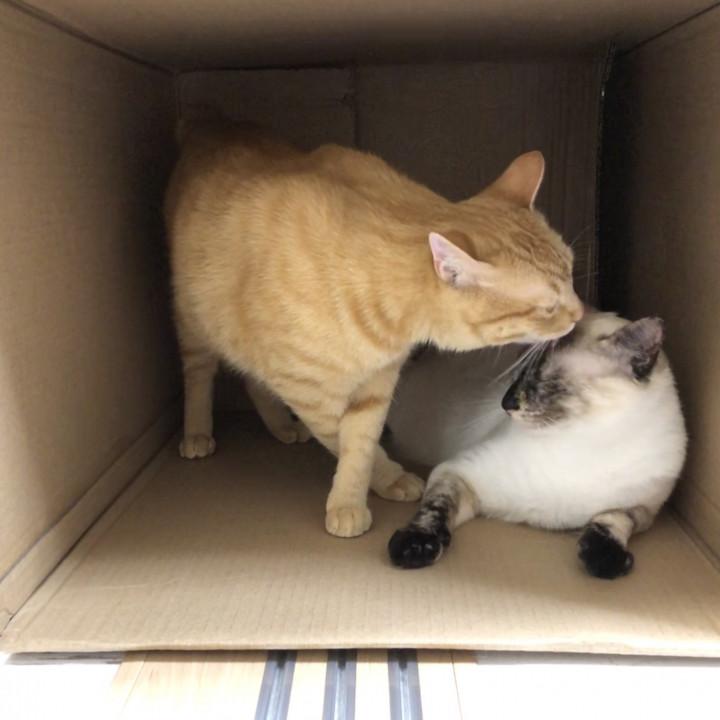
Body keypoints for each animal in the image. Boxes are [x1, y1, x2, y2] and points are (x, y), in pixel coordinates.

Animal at [164, 119, 583, 538]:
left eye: (572, 273)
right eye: (548, 307)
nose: (580, 314)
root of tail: (214, 128)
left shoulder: (377, 386)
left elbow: (361, 444)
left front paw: (369, 486)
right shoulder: (311, 395)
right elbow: (344, 440)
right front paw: (360, 495)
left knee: (253, 380)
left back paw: (281, 427)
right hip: (193, 325)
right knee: (199, 375)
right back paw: (197, 432)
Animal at [387, 311, 687, 578]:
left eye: (542, 379)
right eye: (518, 375)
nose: (506, 402)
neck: (583, 443)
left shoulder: (642, 510)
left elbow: (614, 520)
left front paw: (604, 559)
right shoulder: (456, 473)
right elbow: (434, 510)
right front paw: (414, 547)